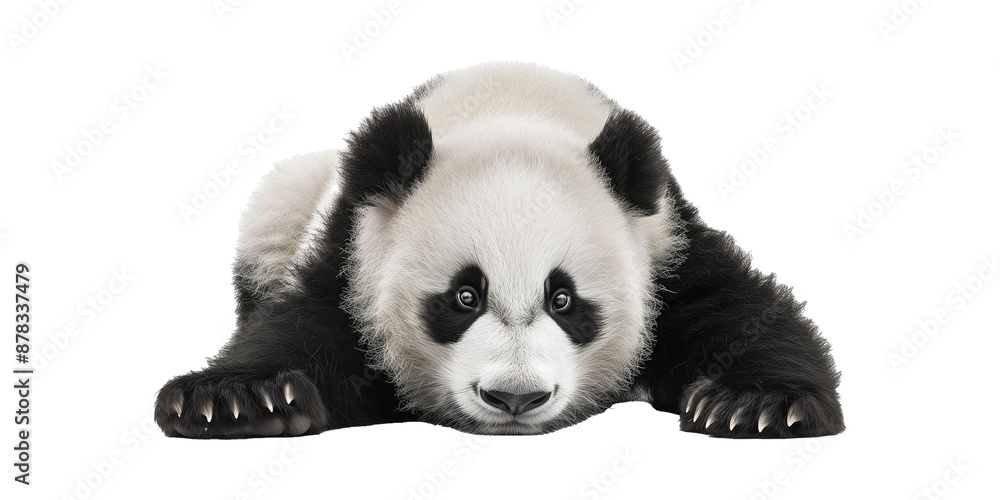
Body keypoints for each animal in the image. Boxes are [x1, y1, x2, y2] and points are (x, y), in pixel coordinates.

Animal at [155, 62, 844, 439]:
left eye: (564, 300)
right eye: (463, 297)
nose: (515, 399)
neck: (513, 106)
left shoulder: (663, 238)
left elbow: (737, 311)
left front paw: (756, 405)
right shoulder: (357, 246)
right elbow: (303, 325)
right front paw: (236, 400)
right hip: (288, 205)